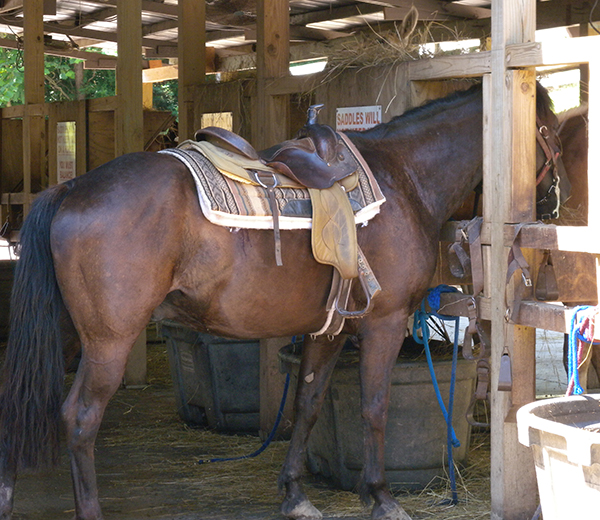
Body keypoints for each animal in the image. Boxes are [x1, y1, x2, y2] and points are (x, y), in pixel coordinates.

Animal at [0, 82, 568, 520]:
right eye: (553, 134)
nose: (550, 204)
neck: (404, 177)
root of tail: (71, 189)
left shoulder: (330, 329)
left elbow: (309, 403)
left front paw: (294, 494)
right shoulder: (384, 323)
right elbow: (374, 407)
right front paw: (381, 497)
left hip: (65, 332)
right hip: (108, 342)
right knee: (79, 419)